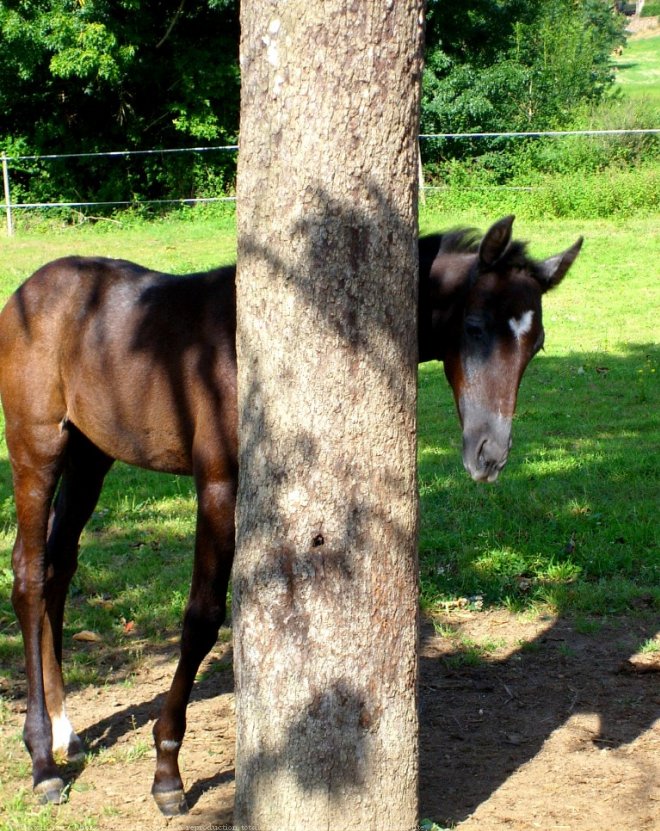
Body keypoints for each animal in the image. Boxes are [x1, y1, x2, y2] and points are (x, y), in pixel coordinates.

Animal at [0, 214, 576, 812]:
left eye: (536, 344)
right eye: (476, 326)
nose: (490, 455)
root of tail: (25, 293)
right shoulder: (219, 484)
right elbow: (202, 617)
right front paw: (167, 770)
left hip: (91, 456)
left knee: (59, 567)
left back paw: (66, 732)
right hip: (37, 445)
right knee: (30, 573)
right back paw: (42, 760)